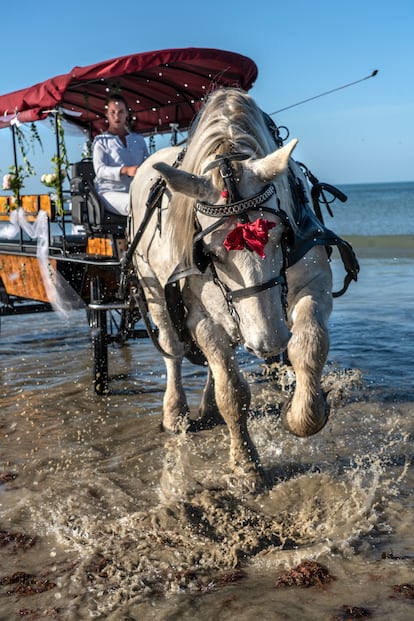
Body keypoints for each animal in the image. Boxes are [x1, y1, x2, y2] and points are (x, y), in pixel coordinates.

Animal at [129, 87, 336, 486]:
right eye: (211, 253)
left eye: (282, 236)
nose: (269, 342)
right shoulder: (197, 313)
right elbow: (233, 391)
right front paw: (245, 466)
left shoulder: (315, 280)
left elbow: (308, 346)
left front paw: (301, 416)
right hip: (153, 290)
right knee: (173, 350)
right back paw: (175, 412)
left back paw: (206, 406)